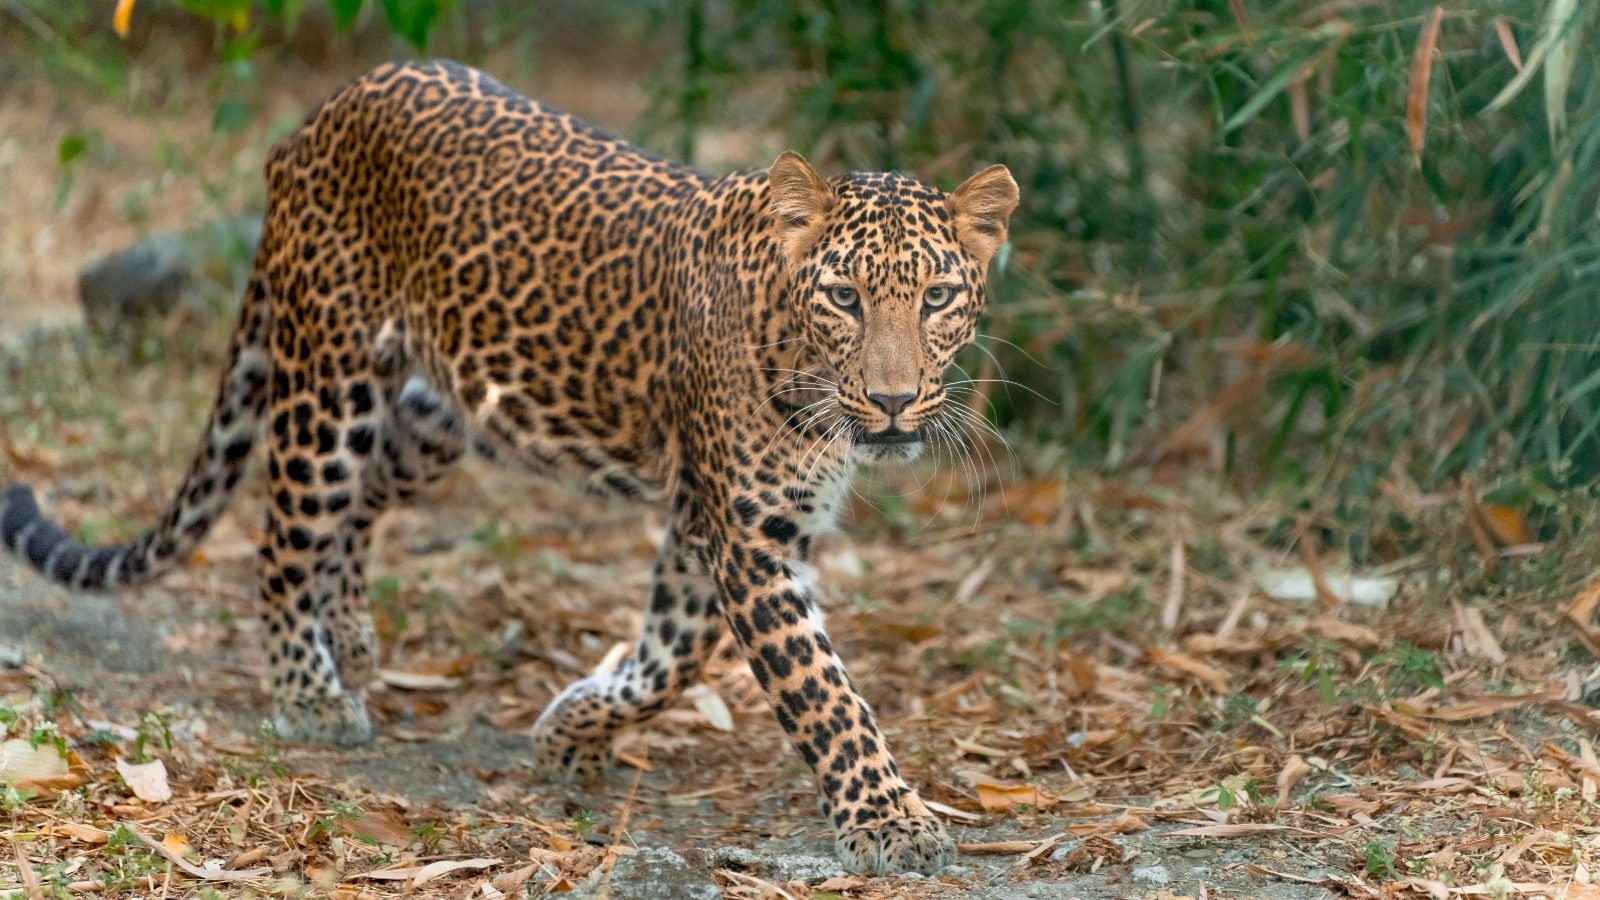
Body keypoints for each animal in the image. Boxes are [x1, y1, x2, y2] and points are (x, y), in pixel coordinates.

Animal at [0, 60, 1018, 875]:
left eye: (938, 298)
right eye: (844, 297)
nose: (892, 401)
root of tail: (324, 114)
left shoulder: (720, 523)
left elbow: (671, 658)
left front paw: (569, 732)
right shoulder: (746, 534)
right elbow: (823, 694)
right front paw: (890, 823)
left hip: (439, 414)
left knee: (361, 502)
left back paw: (350, 634)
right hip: (329, 383)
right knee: (283, 537)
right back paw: (309, 689)